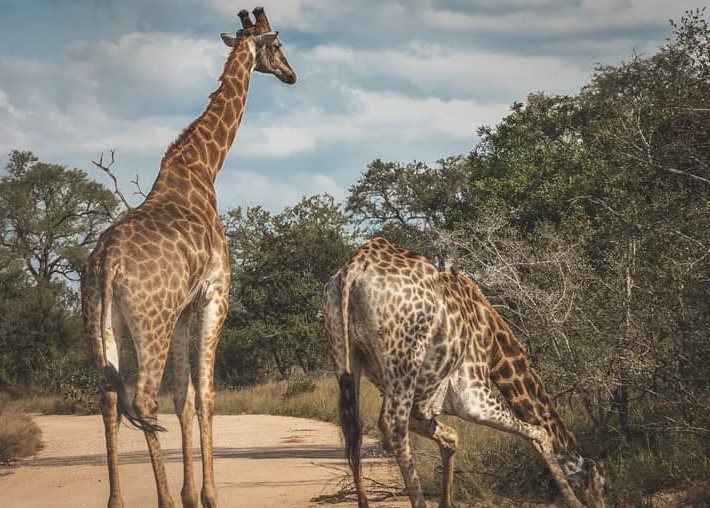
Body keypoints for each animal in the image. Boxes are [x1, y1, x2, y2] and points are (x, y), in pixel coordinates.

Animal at [81, 7, 298, 508]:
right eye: (277, 46)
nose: (292, 75)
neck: (203, 168)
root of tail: (106, 263)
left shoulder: (183, 312)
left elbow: (182, 398)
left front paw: (189, 494)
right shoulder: (216, 296)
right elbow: (206, 395)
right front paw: (208, 494)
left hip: (101, 322)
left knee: (108, 398)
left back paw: (117, 500)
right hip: (151, 322)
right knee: (143, 401)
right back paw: (160, 498)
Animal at [322, 238, 608, 508]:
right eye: (602, 486)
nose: (604, 503)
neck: (494, 344)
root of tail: (355, 269)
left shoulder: (425, 405)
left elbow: (451, 438)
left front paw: (446, 502)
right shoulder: (472, 394)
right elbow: (541, 433)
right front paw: (573, 501)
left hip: (344, 353)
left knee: (354, 431)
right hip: (404, 358)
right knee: (391, 424)